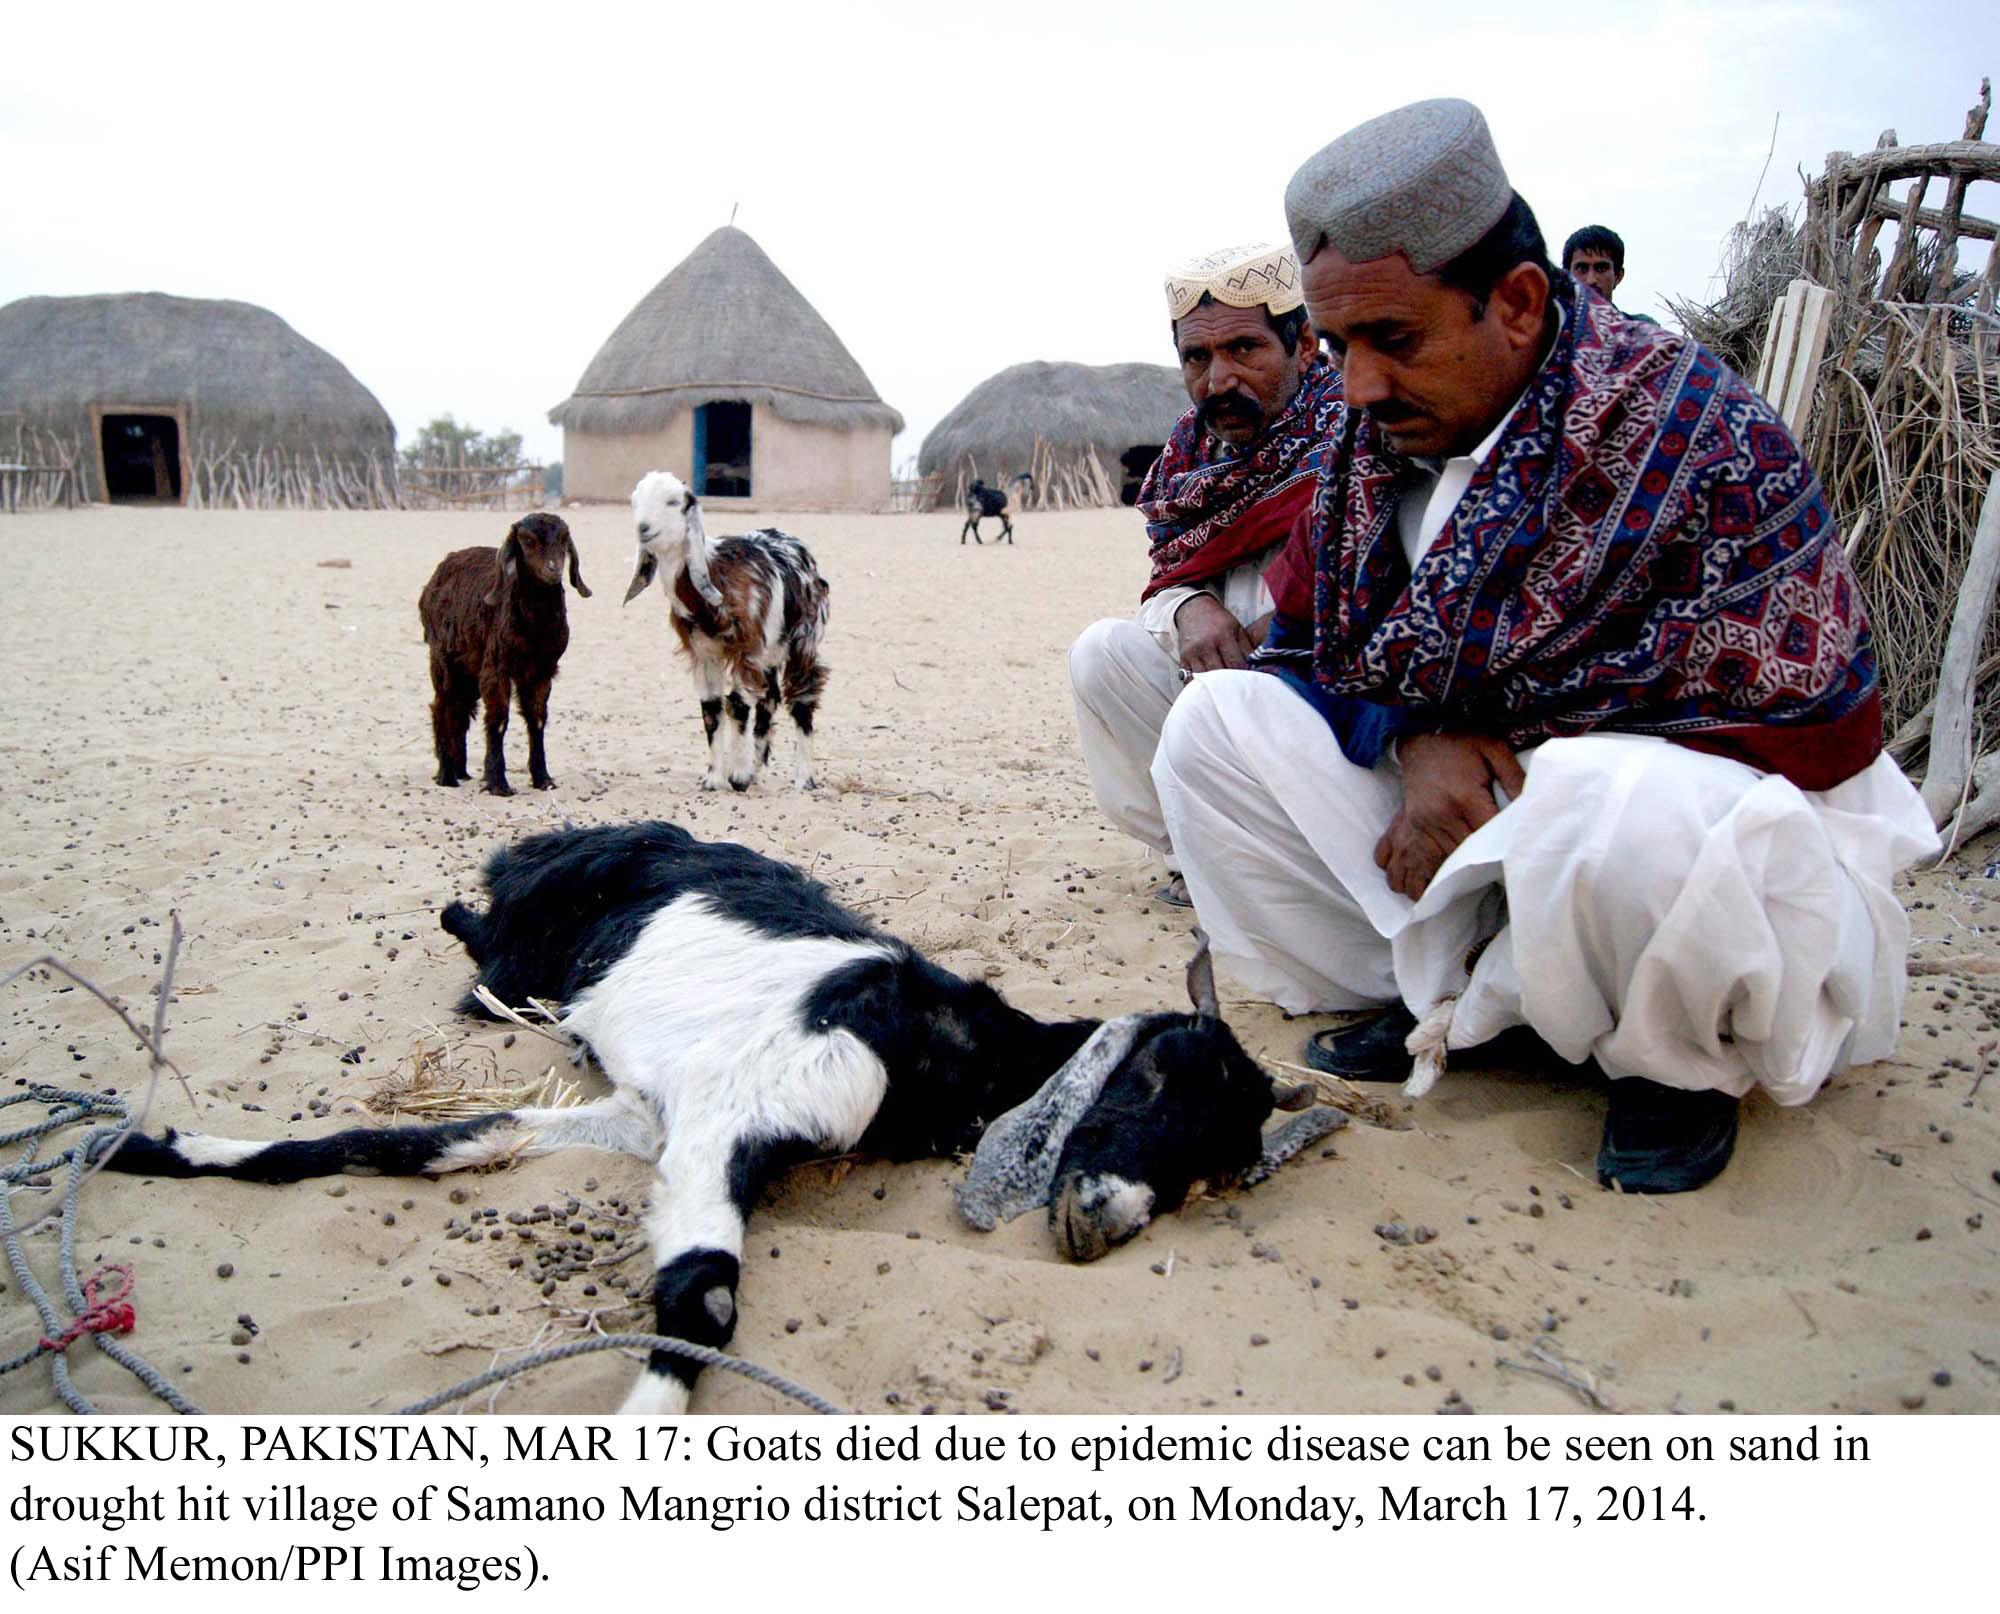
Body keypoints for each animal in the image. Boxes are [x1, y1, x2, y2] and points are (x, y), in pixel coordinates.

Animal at [97, 820, 1344, 1416]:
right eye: (1150, 1078)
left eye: (1219, 1171)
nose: (1103, 1214)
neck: (931, 1043)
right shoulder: (720, 1114)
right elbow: (701, 1296)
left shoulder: (650, 1119)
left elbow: (445, 1140)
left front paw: (151, 1145)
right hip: (515, 940)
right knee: (469, 937)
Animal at [416, 516, 584, 800]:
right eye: (527, 540)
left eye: (564, 539)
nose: (553, 570)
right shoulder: (497, 669)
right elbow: (498, 720)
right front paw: (498, 783)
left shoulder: (542, 670)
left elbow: (537, 718)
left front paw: (543, 779)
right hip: (443, 659)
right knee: (442, 706)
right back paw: (447, 775)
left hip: (469, 668)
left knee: (460, 708)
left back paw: (461, 770)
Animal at [616, 470, 820, 792]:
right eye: (634, 501)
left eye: (673, 501)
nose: (643, 528)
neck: (718, 575)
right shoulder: (705, 654)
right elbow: (711, 708)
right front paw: (714, 778)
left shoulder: (746, 650)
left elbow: (737, 704)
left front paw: (737, 776)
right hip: (770, 651)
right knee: (769, 698)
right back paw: (757, 768)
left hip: (803, 639)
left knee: (802, 697)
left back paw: (803, 778)